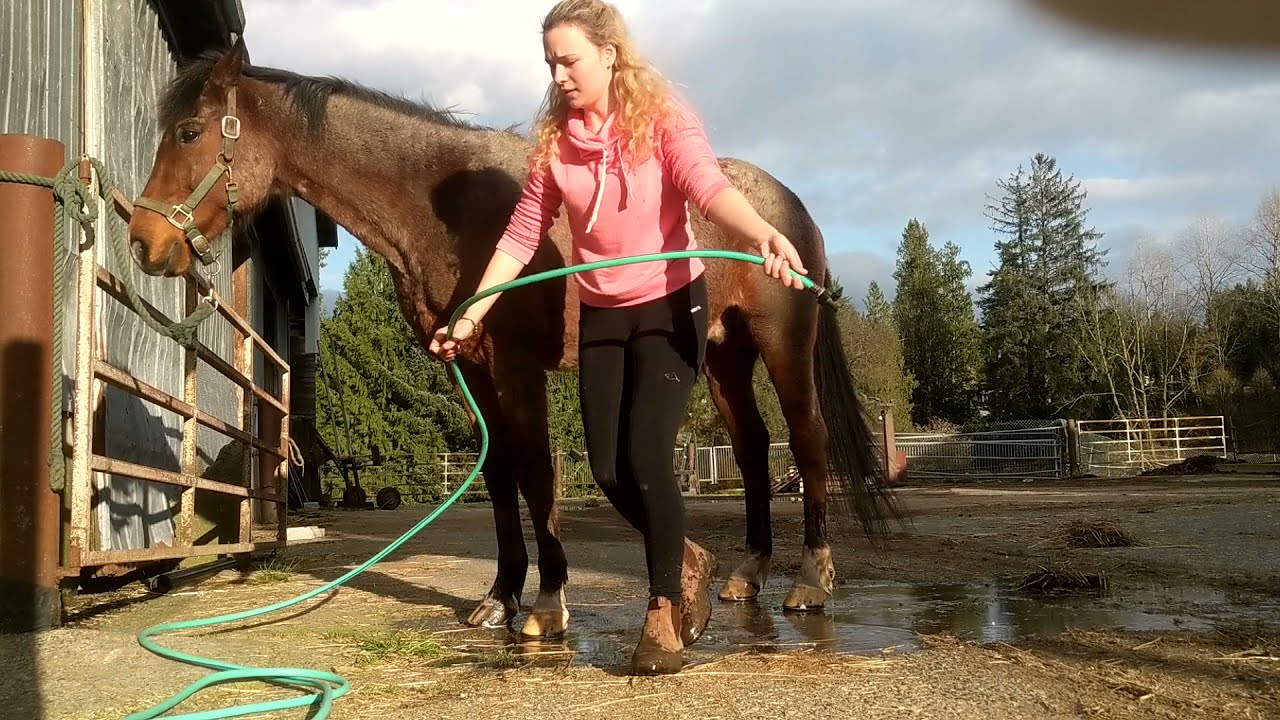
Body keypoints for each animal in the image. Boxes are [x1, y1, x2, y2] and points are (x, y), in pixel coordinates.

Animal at [125, 39, 904, 646]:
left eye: (190, 132)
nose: (144, 241)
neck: (449, 207)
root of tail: (789, 208)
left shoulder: (518, 367)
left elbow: (535, 474)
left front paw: (550, 603)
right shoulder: (467, 367)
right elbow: (499, 475)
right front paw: (499, 597)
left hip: (781, 347)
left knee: (806, 442)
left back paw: (810, 581)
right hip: (721, 357)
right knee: (750, 448)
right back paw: (746, 574)